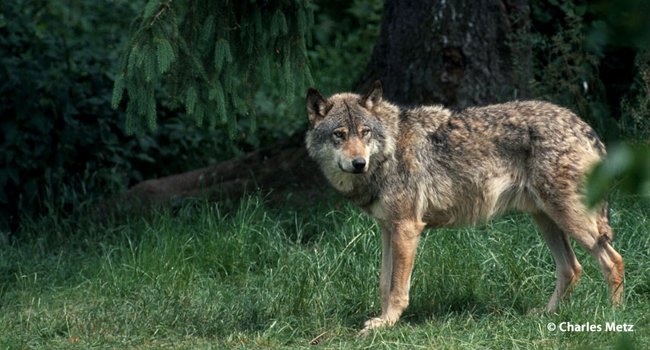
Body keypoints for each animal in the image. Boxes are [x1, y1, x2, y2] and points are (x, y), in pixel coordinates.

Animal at [304, 80, 624, 334]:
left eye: (365, 132)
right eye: (339, 135)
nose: (358, 163)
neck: (390, 150)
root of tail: (585, 127)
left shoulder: (407, 229)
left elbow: (397, 288)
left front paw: (388, 324)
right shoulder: (387, 229)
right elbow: (384, 283)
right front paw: (381, 321)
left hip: (569, 219)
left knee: (613, 260)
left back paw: (614, 316)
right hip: (546, 220)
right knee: (572, 268)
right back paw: (547, 315)